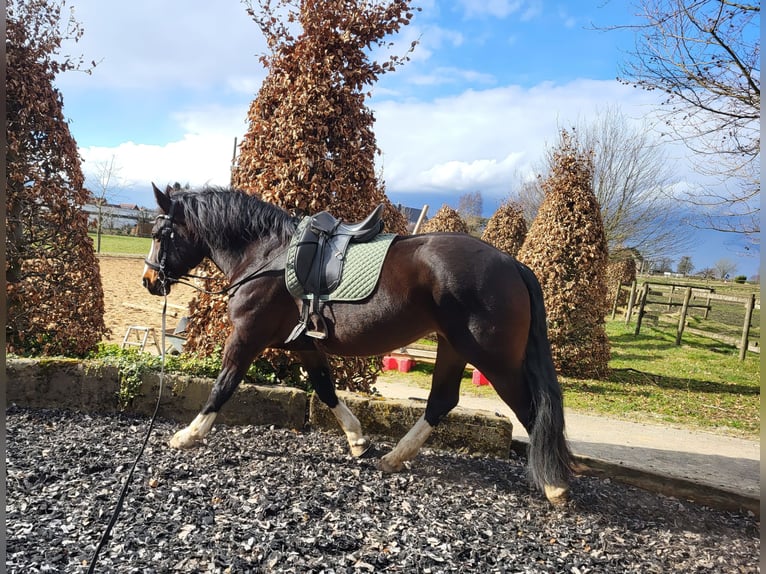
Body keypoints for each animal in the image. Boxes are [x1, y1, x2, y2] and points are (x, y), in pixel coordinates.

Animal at [144, 184, 572, 504]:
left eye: (160, 234)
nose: (150, 281)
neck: (268, 255)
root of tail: (511, 263)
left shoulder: (247, 336)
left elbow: (224, 385)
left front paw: (189, 435)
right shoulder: (305, 344)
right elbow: (325, 390)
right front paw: (358, 440)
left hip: (492, 358)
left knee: (531, 409)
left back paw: (555, 485)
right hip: (453, 347)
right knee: (441, 401)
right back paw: (394, 458)